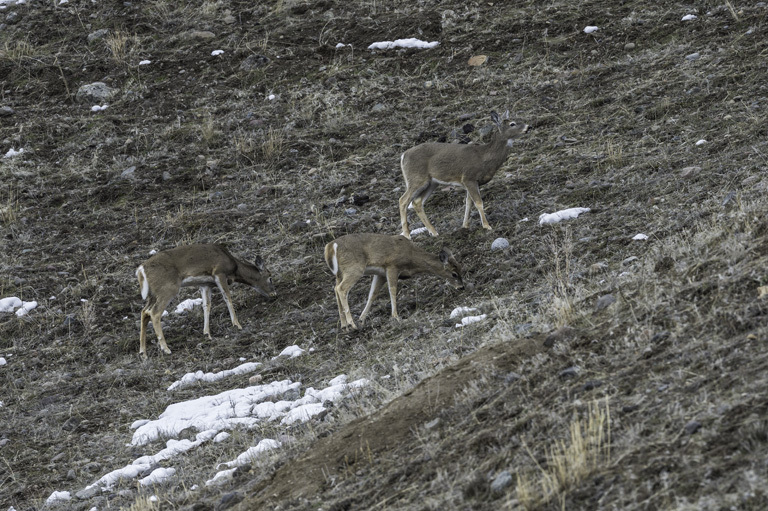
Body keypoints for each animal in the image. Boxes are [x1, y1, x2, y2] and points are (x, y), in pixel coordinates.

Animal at [136, 245, 278, 358]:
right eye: (270, 277)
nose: (274, 294)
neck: (235, 269)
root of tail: (141, 270)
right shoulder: (219, 272)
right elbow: (227, 298)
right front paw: (237, 324)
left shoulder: (205, 284)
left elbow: (207, 306)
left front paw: (207, 333)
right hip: (168, 288)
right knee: (154, 313)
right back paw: (165, 349)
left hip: (153, 294)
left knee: (144, 311)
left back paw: (143, 353)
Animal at [322, 234, 462, 330]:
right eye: (454, 273)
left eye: (461, 268)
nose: (462, 287)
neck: (412, 257)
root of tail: (330, 246)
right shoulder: (392, 266)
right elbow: (393, 290)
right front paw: (395, 316)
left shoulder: (380, 274)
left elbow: (372, 294)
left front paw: (362, 319)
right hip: (354, 268)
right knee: (341, 289)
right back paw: (351, 324)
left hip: (340, 273)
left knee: (335, 288)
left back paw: (344, 325)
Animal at [396, 111, 528, 239]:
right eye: (512, 124)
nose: (528, 127)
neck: (484, 157)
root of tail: (403, 156)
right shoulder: (469, 177)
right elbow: (478, 202)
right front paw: (487, 226)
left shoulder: (472, 182)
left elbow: (468, 203)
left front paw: (465, 226)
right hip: (417, 178)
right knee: (403, 200)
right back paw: (407, 235)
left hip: (432, 182)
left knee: (417, 202)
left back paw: (434, 232)